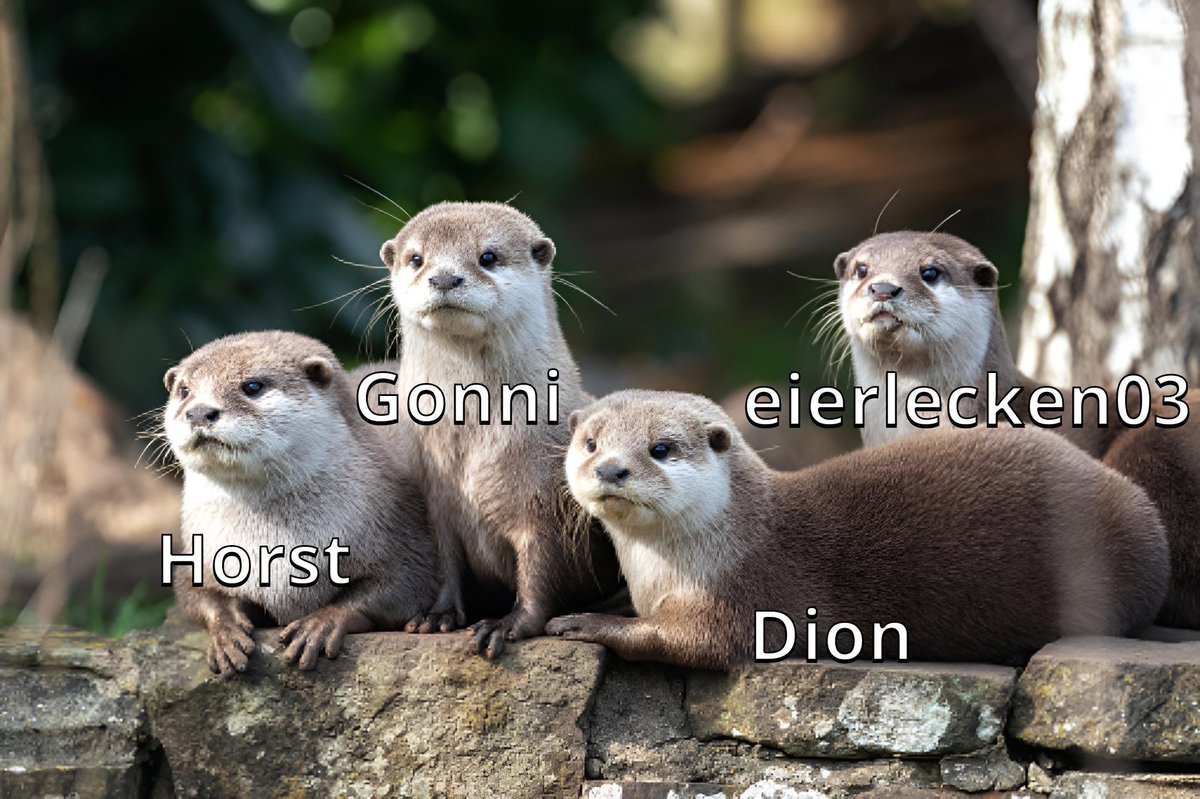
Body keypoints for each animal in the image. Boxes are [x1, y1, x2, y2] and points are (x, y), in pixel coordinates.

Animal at [164, 331, 438, 675]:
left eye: (252, 386)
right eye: (184, 390)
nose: (199, 412)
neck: (270, 539)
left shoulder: (400, 525)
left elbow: (407, 583)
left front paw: (321, 623)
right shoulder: (199, 548)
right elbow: (195, 593)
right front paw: (225, 630)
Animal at [380, 201, 620, 658]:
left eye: (488, 256)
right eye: (416, 258)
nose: (444, 278)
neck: (475, 441)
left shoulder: (545, 505)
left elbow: (542, 572)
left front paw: (508, 624)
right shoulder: (435, 497)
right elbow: (445, 563)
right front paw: (438, 614)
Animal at [545, 390, 1169, 669]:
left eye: (660, 448)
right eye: (591, 442)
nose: (610, 468)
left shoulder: (744, 596)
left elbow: (690, 642)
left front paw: (584, 622)